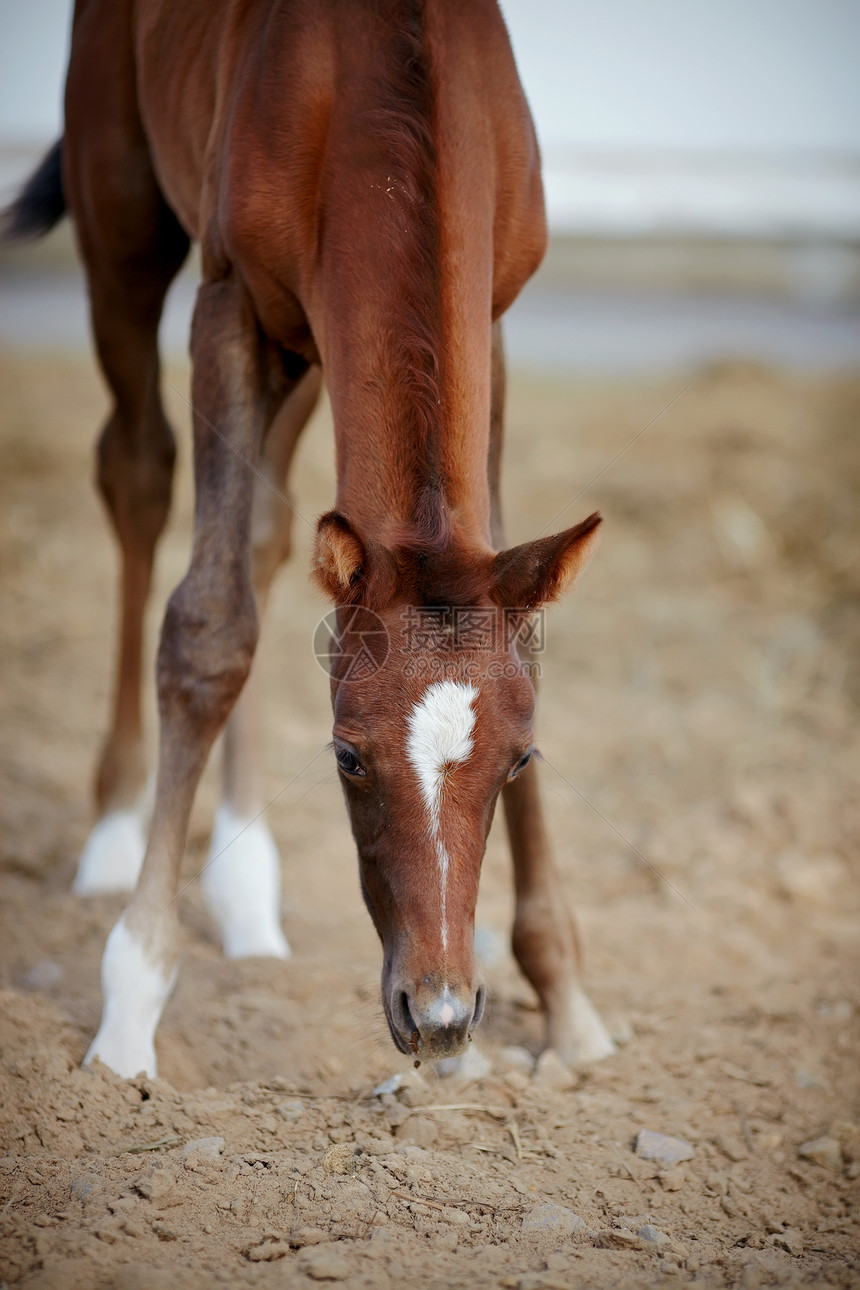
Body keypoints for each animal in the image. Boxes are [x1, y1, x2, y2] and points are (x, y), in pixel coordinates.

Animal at [5, 0, 611, 1073]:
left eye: (520, 760)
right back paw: (114, 828)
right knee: (139, 474)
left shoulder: (489, 319)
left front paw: (567, 996)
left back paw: (249, 897)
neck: (382, 82)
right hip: (125, 223)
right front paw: (128, 1011)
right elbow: (208, 629)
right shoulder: (230, 304)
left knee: (264, 533)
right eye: (347, 758)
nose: (439, 1015)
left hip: (312, 349)